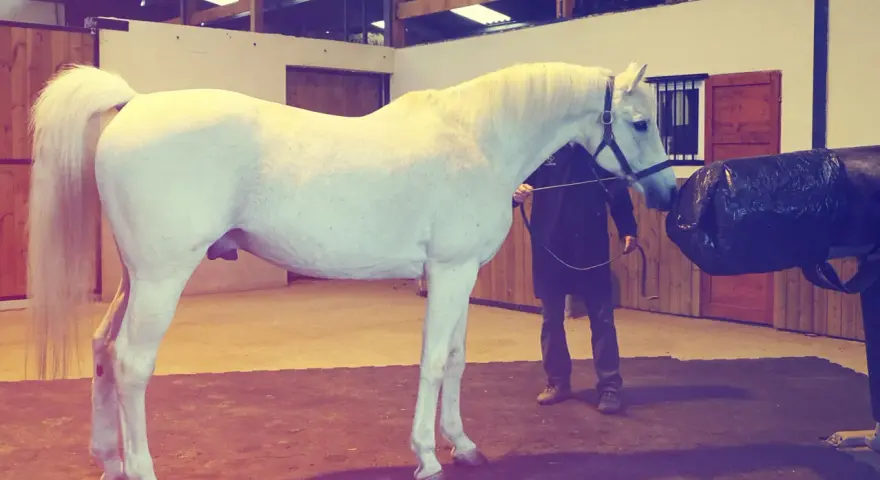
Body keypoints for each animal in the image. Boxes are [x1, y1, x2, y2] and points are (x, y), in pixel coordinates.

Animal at [26, 60, 678, 480]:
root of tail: (134, 102)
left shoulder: (463, 273)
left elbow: (457, 359)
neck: (478, 140)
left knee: (103, 349)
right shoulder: (448, 272)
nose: (668, 193)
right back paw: (139, 467)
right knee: (132, 364)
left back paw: (109, 461)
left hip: (135, 278)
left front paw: (463, 445)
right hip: (162, 279)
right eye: (640, 123)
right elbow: (433, 361)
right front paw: (427, 456)